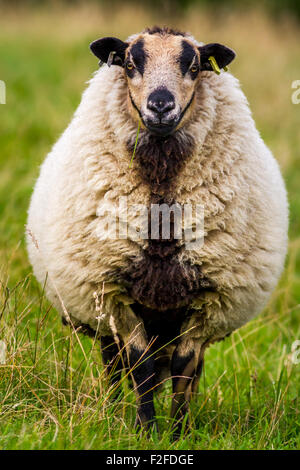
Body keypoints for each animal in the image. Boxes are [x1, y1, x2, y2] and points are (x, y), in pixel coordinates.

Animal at [27, 27, 290, 436]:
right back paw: (111, 408)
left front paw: (180, 431)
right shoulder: (114, 294)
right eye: (130, 64)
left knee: (189, 369)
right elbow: (141, 366)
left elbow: (184, 368)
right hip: (103, 316)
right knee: (113, 364)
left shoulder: (209, 301)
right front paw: (143, 428)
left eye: (194, 66)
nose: (161, 105)